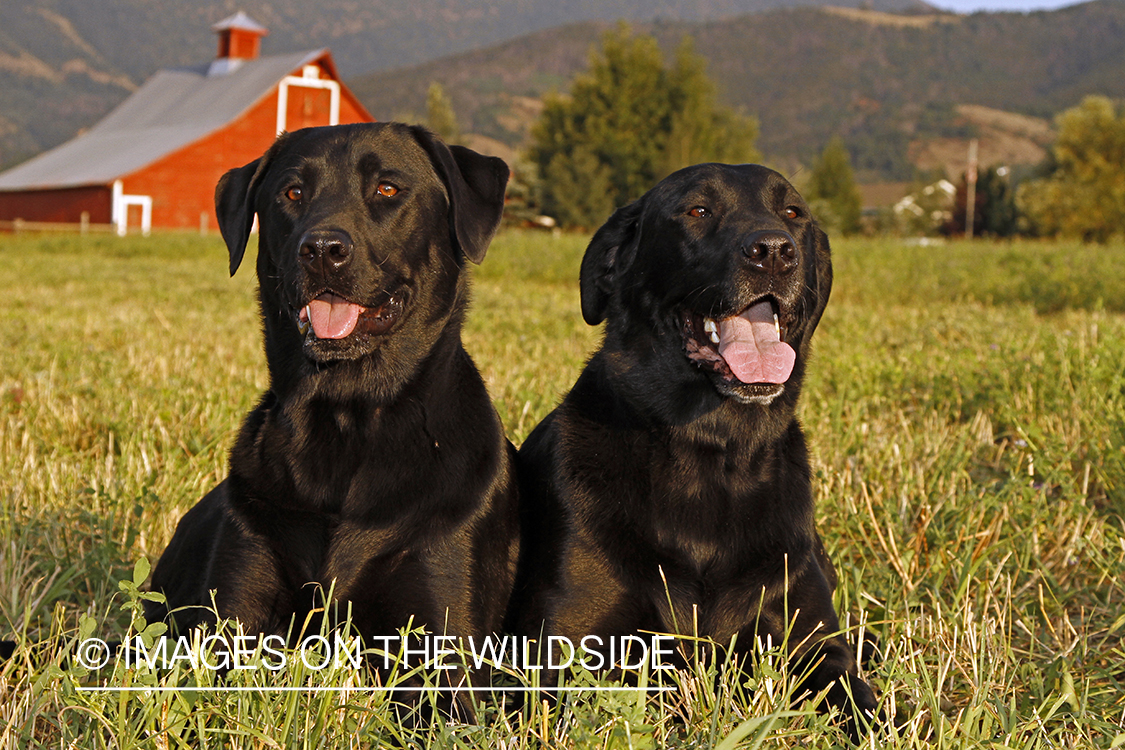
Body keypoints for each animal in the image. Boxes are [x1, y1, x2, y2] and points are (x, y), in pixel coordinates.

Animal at [142, 123, 519, 670]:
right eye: (292, 193)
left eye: (388, 188)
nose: (321, 249)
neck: (345, 419)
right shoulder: (230, 621)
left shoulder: (447, 645)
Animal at [510, 165, 877, 737]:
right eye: (698, 210)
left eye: (793, 212)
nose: (775, 251)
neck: (712, 451)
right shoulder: (556, 649)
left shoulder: (816, 645)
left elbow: (869, 706)